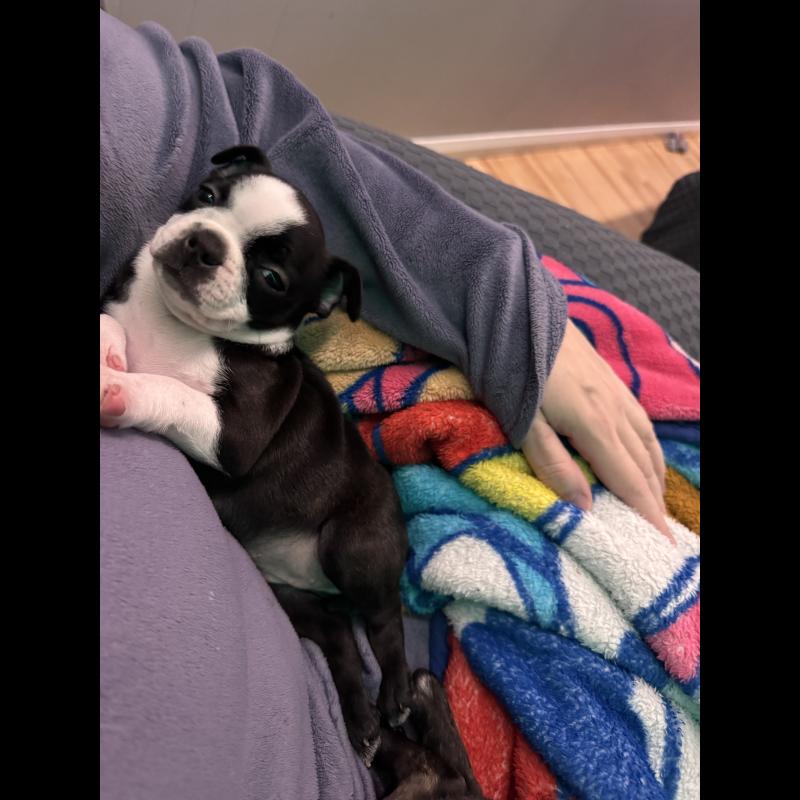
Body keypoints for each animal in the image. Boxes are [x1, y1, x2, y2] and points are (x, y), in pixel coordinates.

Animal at [100, 145, 483, 796]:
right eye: (207, 195)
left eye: (272, 280)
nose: (204, 243)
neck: (173, 322)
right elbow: (107, 327)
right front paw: (109, 353)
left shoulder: (234, 436)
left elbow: (166, 390)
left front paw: (121, 391)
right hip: (287, 595)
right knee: (338, 636)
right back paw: (359, 722)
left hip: (353, 544)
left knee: (383, 623)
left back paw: (396, 697)